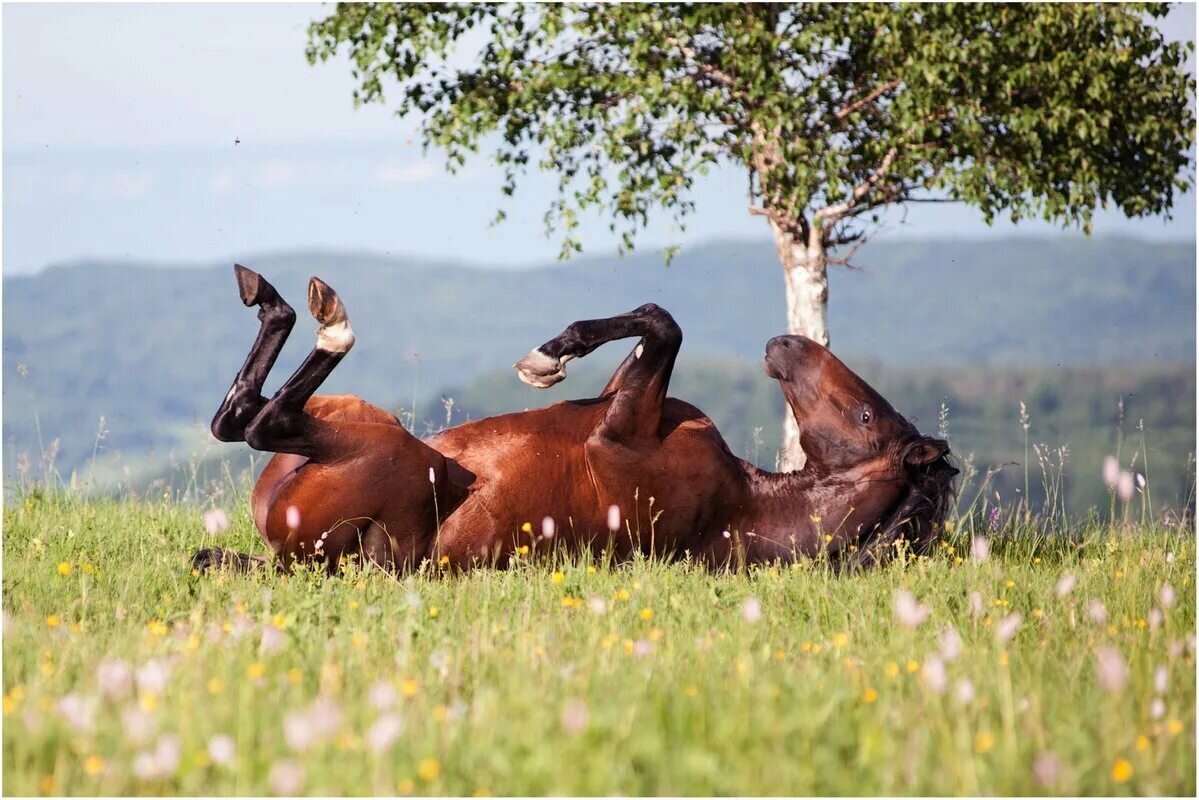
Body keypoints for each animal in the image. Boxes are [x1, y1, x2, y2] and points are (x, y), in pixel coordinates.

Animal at [196, 266, 954, 573]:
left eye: (865, 413)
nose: (787, 344)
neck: (743, 507)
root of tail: (291, 557)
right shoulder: (629, 401)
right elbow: (654, 325)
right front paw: (553, 358)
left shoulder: (617, 435)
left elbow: (663, 323)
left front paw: (549, 355)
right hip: (360, 420)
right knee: (238, 419)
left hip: (398, 456)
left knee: (259, 423)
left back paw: (316, 315)